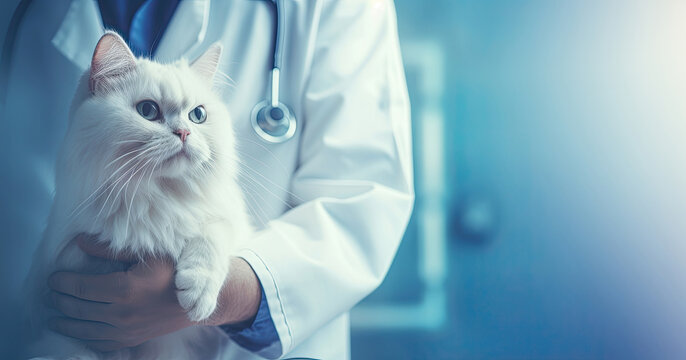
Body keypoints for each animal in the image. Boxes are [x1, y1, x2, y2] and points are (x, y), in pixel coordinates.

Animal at [26, 32, 255, 358]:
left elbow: (212, 234)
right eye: (148, 111)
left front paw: (197, 293)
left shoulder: (231, 223)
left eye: (197, 115)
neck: (159, 196)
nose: (185, 133)